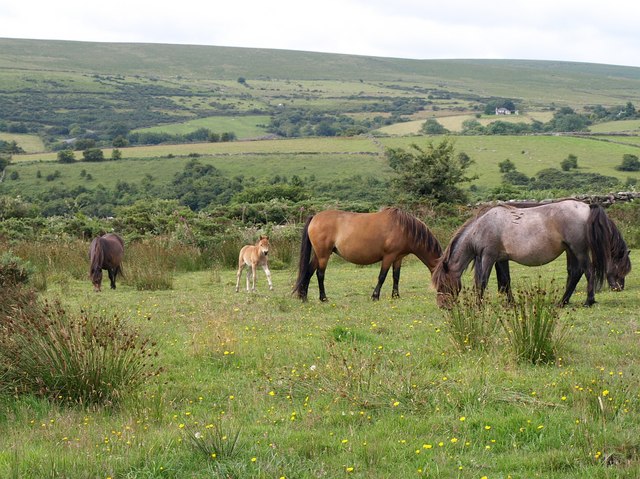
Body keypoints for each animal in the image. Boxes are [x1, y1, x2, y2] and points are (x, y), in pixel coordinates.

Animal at [292, 208, 442, 302]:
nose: (443, 294)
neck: (404, 228)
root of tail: (314, 217)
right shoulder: (388, 256)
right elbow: (382, 277)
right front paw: (375, 296)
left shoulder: (398, 258)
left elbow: (396, 277)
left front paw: (396, 296)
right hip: (323, 255)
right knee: (320, 274)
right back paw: (323, 298)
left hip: (319, 255)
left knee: (308, 272)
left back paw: (304, 297)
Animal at [430, 201, 632, 310]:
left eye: (443, 283)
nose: (442, 305)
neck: (482, 226)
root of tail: (587, 207)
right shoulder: (500, 259)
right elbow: (505, 281)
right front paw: (511, 303)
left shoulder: (488, 256)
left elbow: (482, 281)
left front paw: (478, 305)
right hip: (570, 250)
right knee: (574, 273)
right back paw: (562, 302)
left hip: (579, 250)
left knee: (587, 271)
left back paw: (588, 301)